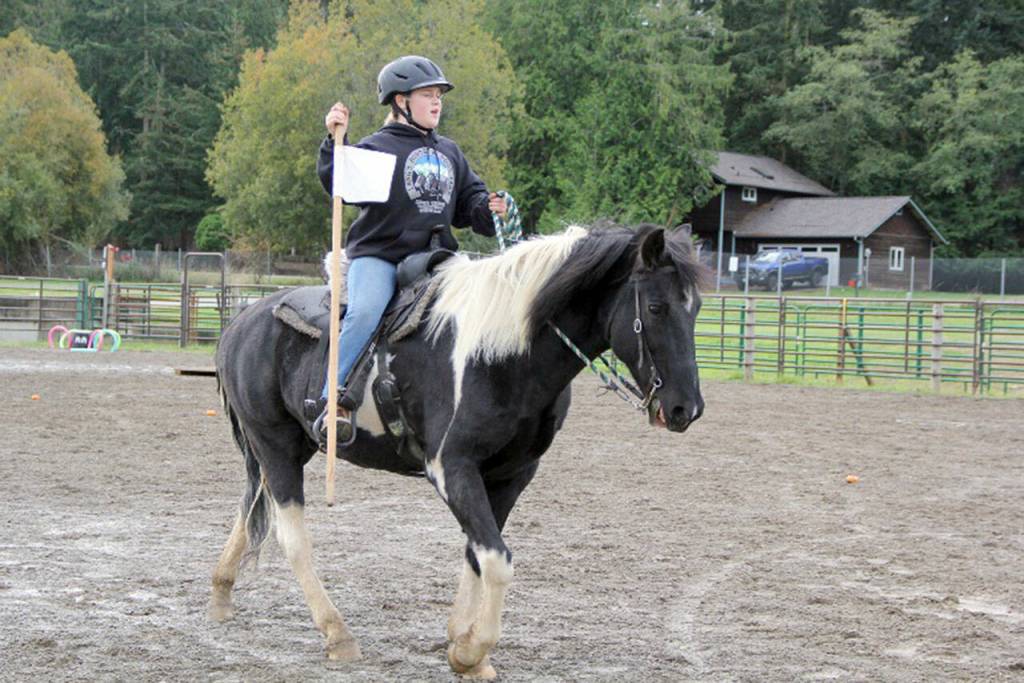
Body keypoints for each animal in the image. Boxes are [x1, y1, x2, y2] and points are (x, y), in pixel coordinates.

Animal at [209, 223, 705, 679]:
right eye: (656, 307)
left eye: (696, 308)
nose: (687, 408)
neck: (503, 352)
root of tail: (241, 321)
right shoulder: (451, 467)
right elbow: (497, 560)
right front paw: (470, 651)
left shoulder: (511, 474)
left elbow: (478, 553)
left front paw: (463, 643)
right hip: (274, 442)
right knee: (291, 537)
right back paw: (337, 633)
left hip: (290, 448)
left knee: (249, 505)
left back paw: (221, 592)